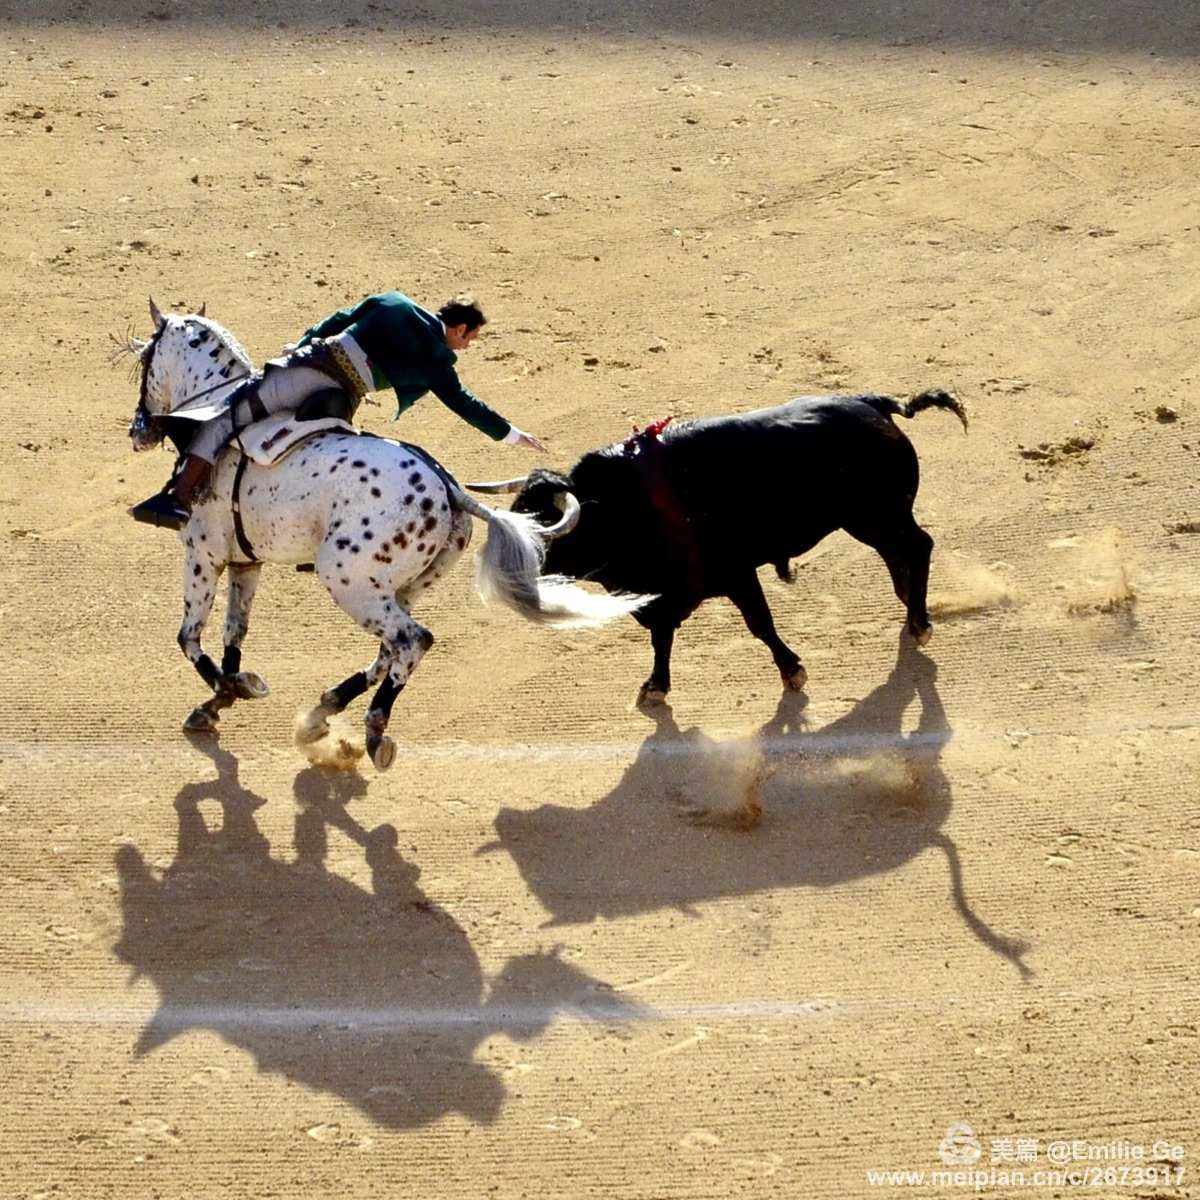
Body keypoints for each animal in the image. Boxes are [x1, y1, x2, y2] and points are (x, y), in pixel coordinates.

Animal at [120, 300, 648, 768]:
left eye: (145, 361)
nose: (138, 431)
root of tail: (449, 487)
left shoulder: (202, 554)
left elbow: (189, 635)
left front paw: (223, 695)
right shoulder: (246, 561)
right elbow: (235, 631)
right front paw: (226, 695)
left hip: (347, 581)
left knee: (412, 641)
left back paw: (373, 729)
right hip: (403, 585)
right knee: (389, 650)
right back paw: (323, 711)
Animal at [487, 388, 964, 700]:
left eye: (541, 528)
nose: (505, 577)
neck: (618, 506)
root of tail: (873, 404)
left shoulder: (736, 574)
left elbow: (759, 624)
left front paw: (793, 671)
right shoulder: (662, 596)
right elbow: (661, 637)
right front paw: (655, 686)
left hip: (880, 514)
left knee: (917, 547)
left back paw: (919, 622)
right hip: (868, 521)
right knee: (896, 554)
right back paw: (908, 605)